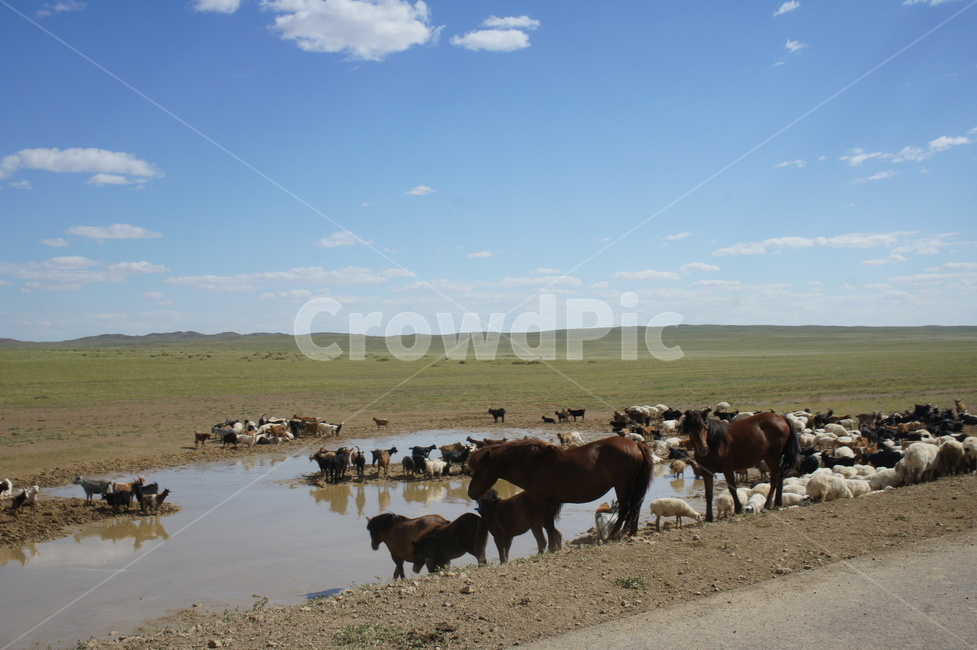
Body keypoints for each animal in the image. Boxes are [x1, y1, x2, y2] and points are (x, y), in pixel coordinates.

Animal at [467, 435, 655, 544]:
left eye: (481, 469)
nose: (471, 493)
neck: (533, 466)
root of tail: (636, 445)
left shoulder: (546, 503)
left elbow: (549, 528)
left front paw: (551, 549)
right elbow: (548, 527)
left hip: (622, 486)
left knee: (625, 510)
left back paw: (613, 536)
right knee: (635, 508)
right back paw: (630, 533)